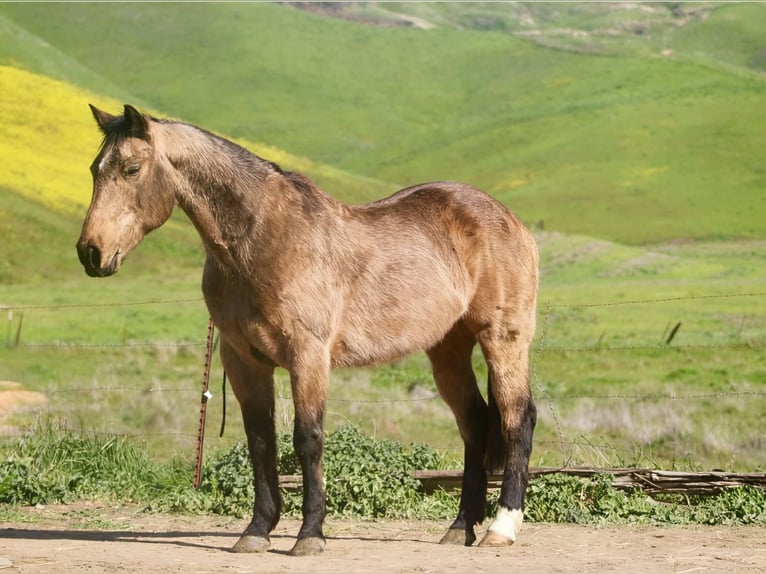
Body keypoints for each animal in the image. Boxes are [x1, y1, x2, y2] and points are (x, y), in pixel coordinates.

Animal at [76, 104, 539, 556]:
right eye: (95, 169)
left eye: (132, 169)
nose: (90, 252)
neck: (264, 241)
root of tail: (511, 220)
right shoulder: (243, 361)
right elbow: (261, 441)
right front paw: (257, 531)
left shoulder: (308, 355)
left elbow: (308, 439)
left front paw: (310, 534)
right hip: (447, 349)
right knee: (475, 423)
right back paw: (460, 528)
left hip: (502, 339)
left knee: (517, 419)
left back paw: (501, 527)